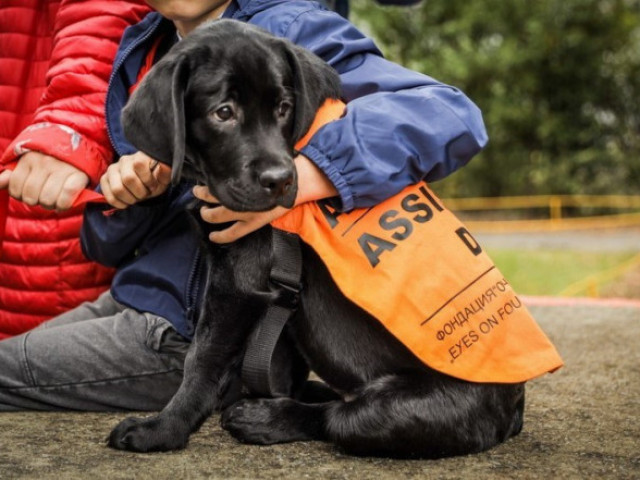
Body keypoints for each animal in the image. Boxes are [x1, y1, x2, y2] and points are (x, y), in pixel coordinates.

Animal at [106, 20, 524, 460]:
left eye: (284, 108)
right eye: (223, 113)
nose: (280, 181)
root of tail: (514, 411)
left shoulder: (237, 283)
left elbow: (201, 360)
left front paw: (163, 429)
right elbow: (275, 363)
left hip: (399, 411)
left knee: (338, 417)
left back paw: (265, 417)